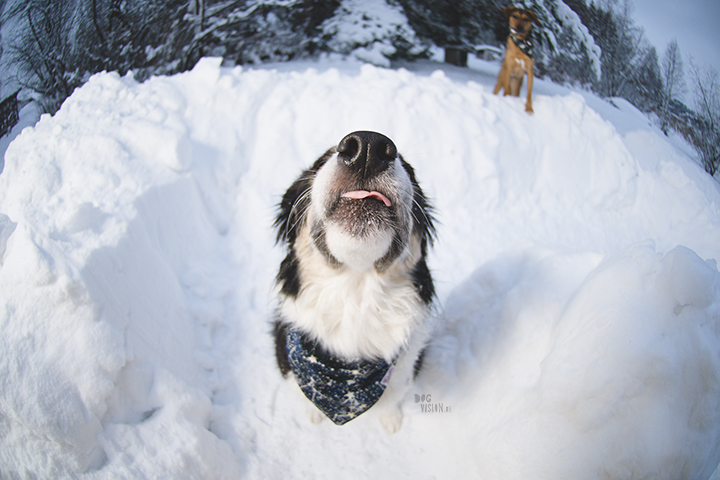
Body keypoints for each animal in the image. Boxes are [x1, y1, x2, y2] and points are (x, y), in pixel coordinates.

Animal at [274, 132, 434, 436]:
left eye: (409, 170)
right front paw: (312, 415)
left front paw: (391, 420)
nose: (369, 147)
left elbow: (394, 397)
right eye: (321, 162)